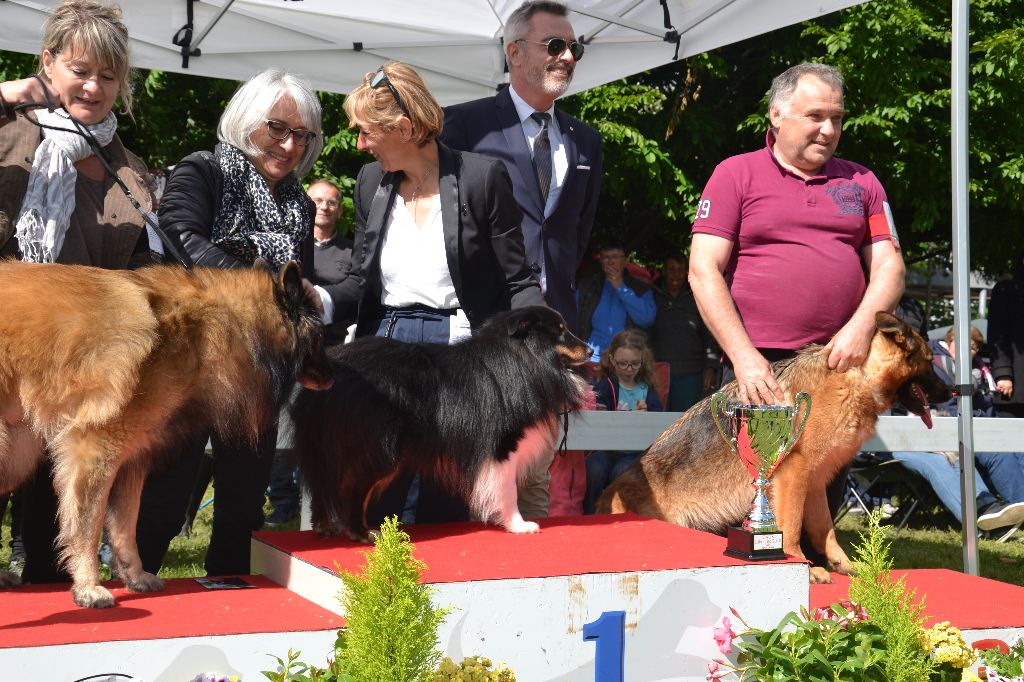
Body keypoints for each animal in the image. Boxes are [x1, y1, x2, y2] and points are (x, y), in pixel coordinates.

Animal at [0, 260, 329, 606]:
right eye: (320, 337)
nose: (334, 376)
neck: (203, 330)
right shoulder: (95, 450)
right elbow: (87, 526)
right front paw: (89, 587)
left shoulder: (130, 459)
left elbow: (125, 525)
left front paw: (134, 576)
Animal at [290, 305, 593, 540]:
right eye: (560, 330)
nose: (591, 350)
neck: (523, 357)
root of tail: (331, 373)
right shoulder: (503, 445)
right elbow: (508, 490)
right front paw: (519, 525)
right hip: (376, 448)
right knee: (350, 488)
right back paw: (362, 533)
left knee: (324, 484)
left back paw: (326, 527)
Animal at [598, 311, 950, 581]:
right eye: (930, 361)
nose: (954, 392)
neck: (858, 375)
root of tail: (605, 498)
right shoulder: (793, 473)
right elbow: (791, 526)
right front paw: (802, 566)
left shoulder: (815, 480)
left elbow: (825, 528)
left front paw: (843, 564)